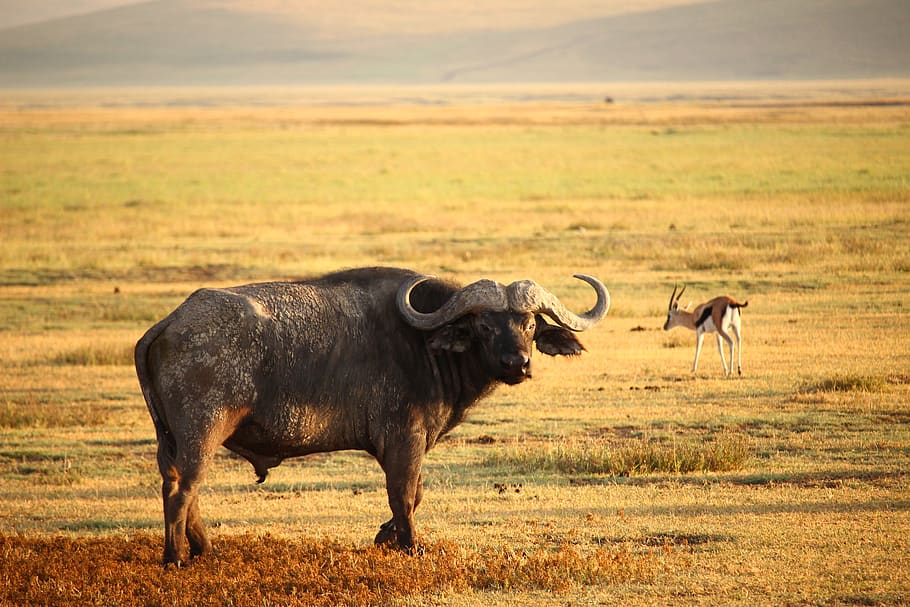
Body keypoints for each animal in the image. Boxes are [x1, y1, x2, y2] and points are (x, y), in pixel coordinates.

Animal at [135, 266, 609, 565]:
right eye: (484, 326)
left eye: (529, 324)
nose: (518, 364)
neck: (423, 345)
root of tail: (171, 322)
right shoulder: (404, 438)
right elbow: (404, 494)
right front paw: (410, 545)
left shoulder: (408, 443)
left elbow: (416, 493)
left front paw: (386, 537)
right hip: (202, 432)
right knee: (182, 488)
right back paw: (176, 557)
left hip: (173, 440)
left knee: (182, 485)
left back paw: (205, 550)